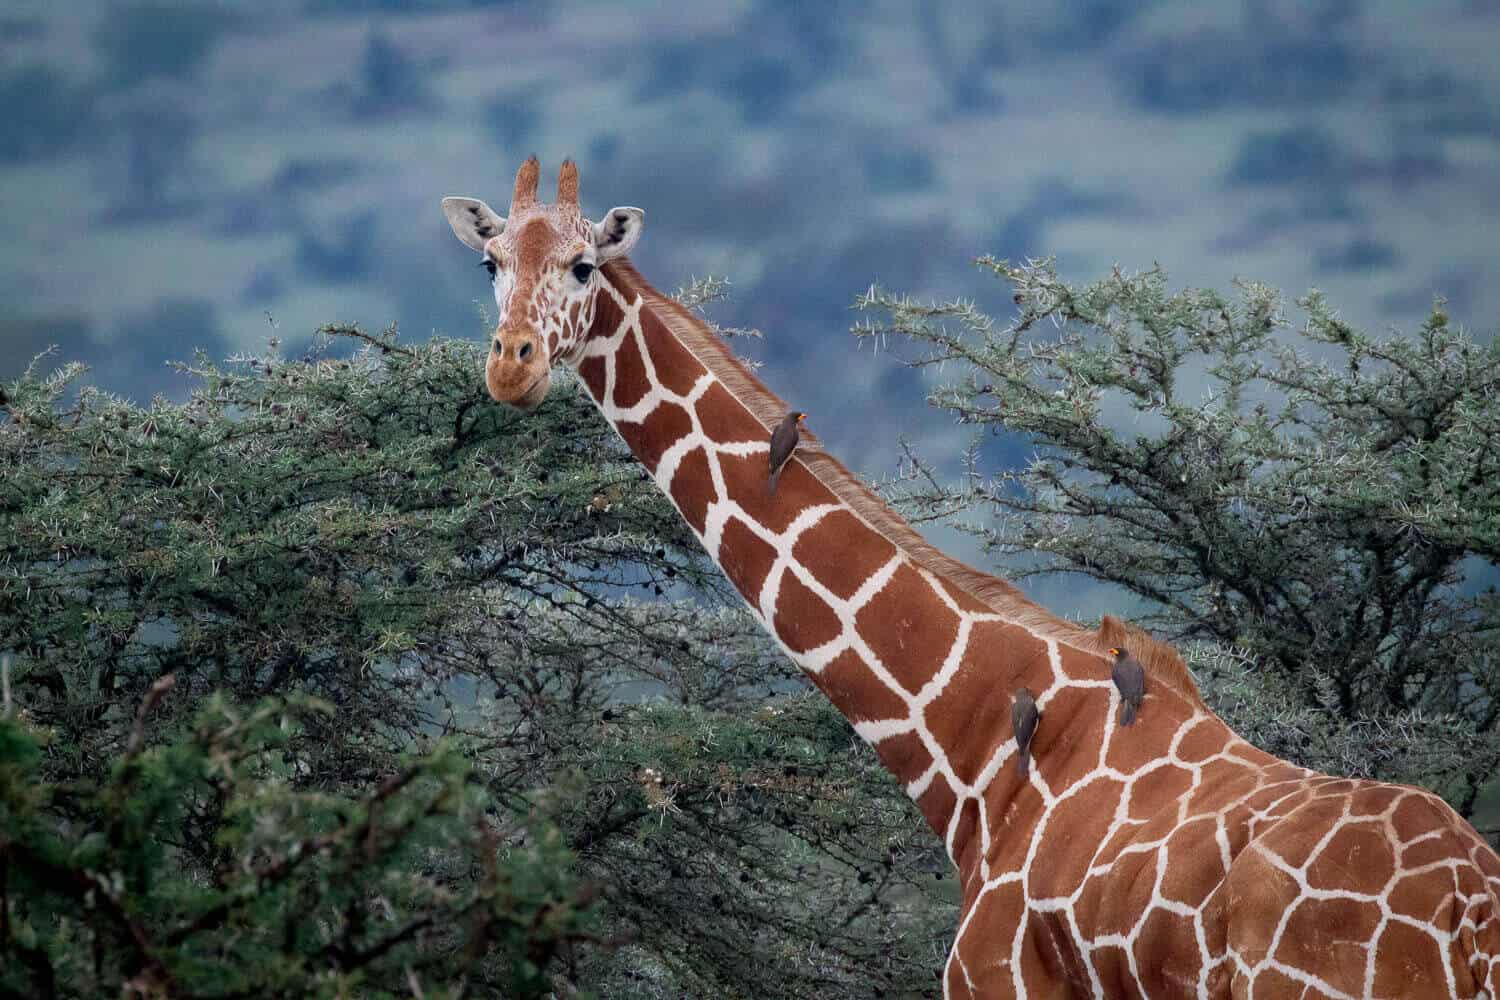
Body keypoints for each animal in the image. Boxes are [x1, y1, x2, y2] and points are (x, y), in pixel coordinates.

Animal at [441, 158, 1500, 999]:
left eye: (583, 265)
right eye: (490, 265)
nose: (512, 367)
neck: (975, 741)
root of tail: (1471, 921)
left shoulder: (995, 981)